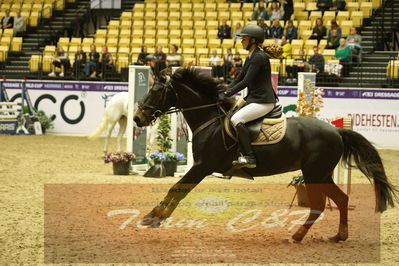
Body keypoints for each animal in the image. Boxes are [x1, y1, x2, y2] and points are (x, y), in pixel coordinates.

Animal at [134, 67, 396, 242]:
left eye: (156, 92)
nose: (137, 118)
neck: (211, 119)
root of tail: (336, 130)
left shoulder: (203, 165)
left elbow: (177, 188)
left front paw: (154, 216)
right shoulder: (201, 166)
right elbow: (177, 189)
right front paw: (156, 216)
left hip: (314, 173)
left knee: (320, 204)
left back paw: (297, 235)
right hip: (322, 174)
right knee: (341, 199)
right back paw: (338, 236)